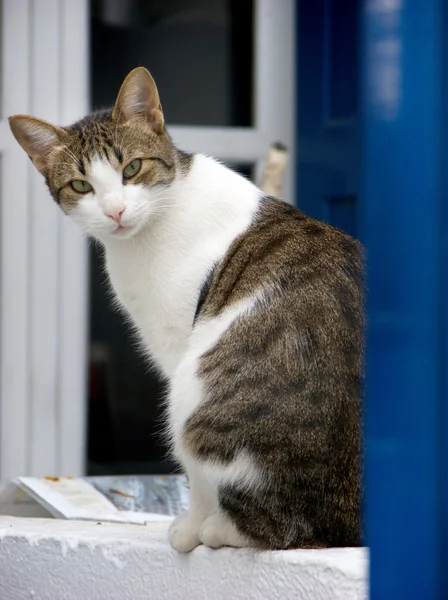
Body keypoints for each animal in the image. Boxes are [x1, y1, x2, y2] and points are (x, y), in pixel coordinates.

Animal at [9, 68, 364, 552]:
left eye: (132, 168)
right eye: (82, 186)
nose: (116, 211)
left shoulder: (178, 346)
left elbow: (195, 479)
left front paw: (190, 527)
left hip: (193, 389)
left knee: (281, 524)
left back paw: (218, 528)